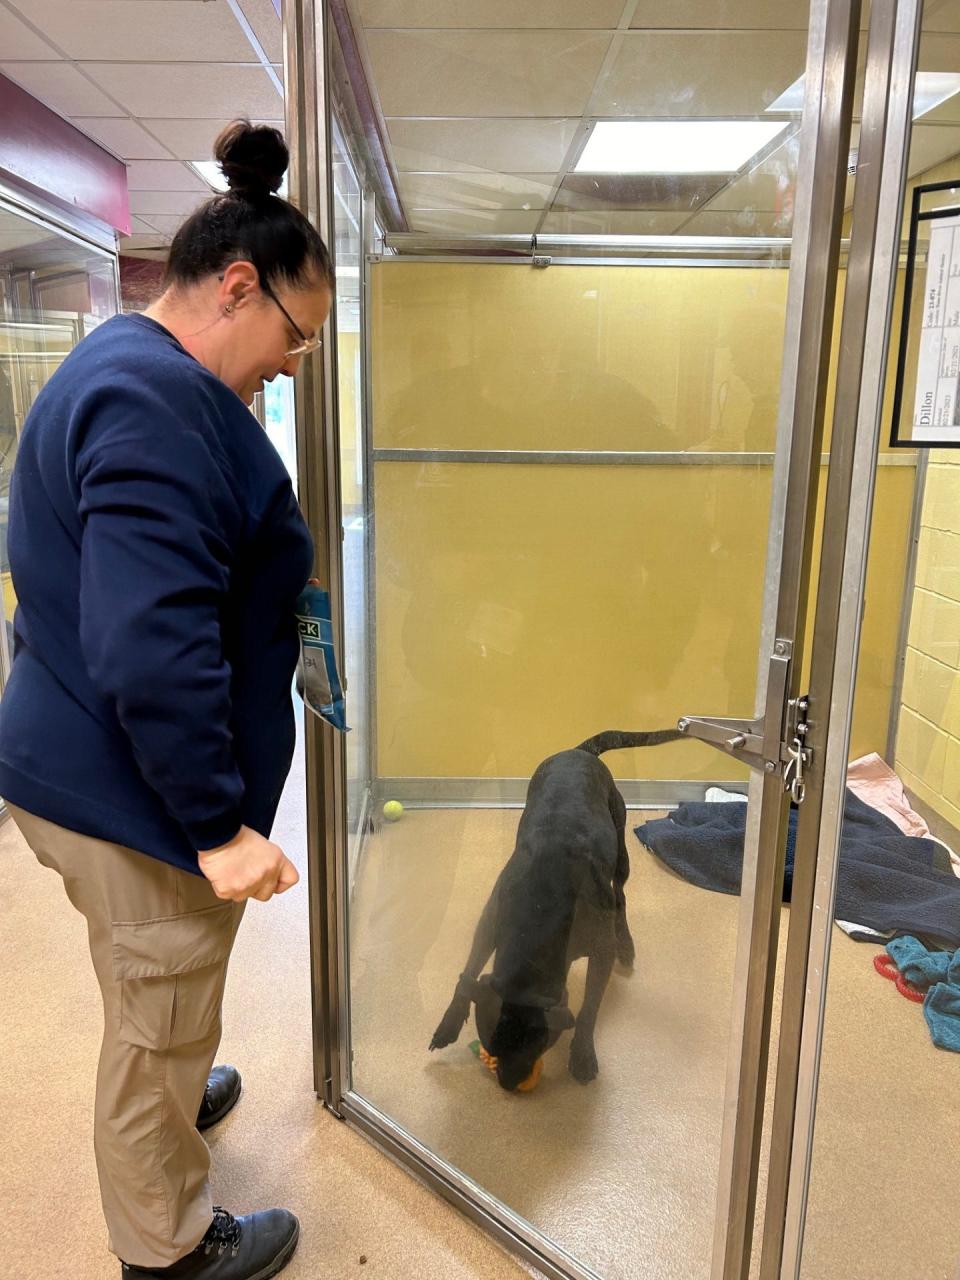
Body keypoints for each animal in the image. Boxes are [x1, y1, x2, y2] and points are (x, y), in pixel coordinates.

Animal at [427, 732, 686, 1090]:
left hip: (620, 850)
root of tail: (579, 751)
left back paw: (626, 943)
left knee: (620, 897)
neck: (540, 916)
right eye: (492, 1045)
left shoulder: (600, 951)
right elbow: (469, 971)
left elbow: (589, 1008)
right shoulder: (490, 923)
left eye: (537, 1047)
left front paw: (582, 1055)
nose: (509, 1085)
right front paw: (449, 1023)